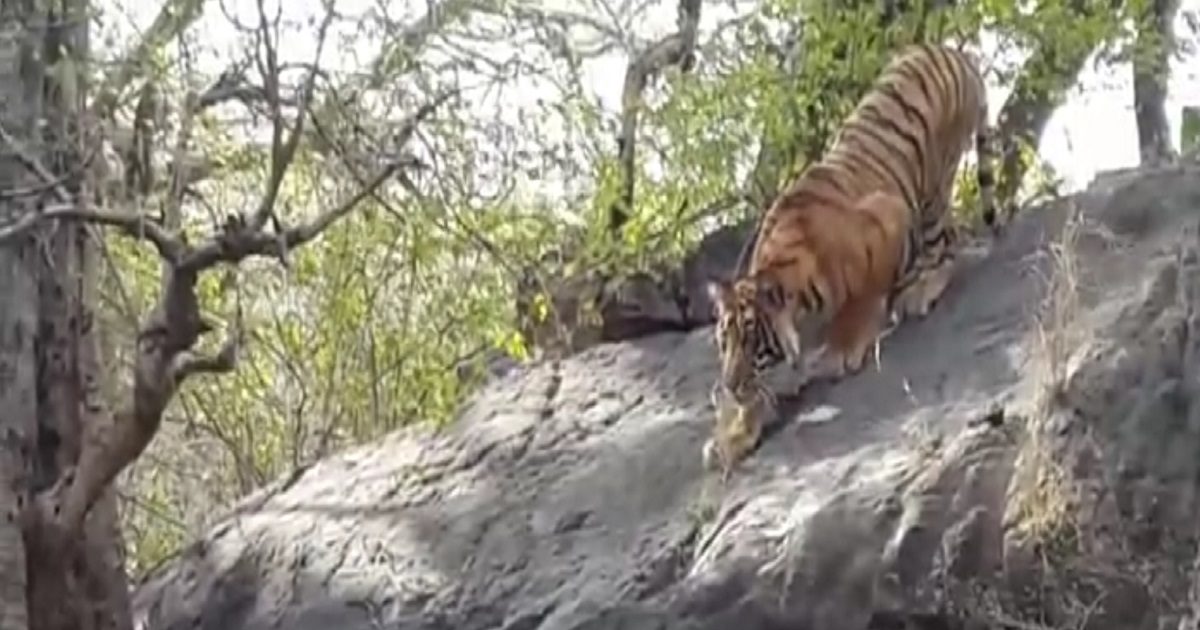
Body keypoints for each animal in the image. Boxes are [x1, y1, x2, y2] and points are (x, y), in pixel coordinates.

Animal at [709, 42, 997, 405]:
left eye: (750, 340)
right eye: (724, 341)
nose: (730, 386)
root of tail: (951, 51)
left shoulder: (888, 215)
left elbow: (862, 295)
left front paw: (843, 348)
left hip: (935, 184)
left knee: (944, 241)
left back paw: (921, 288)